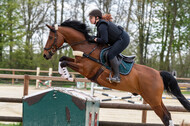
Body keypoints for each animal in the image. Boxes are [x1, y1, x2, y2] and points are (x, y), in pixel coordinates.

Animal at [43, 20, 190, 125]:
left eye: (50, 37)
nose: (45, 55)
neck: (86, 46)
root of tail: (158, 73)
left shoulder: (85, 69)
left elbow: (64, 62)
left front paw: (67, 75)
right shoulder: (78, 62)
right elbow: (63, 59)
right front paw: (64, 74)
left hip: (152, 99)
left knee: (165, 117)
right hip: (155, 100)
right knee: (167, 116)